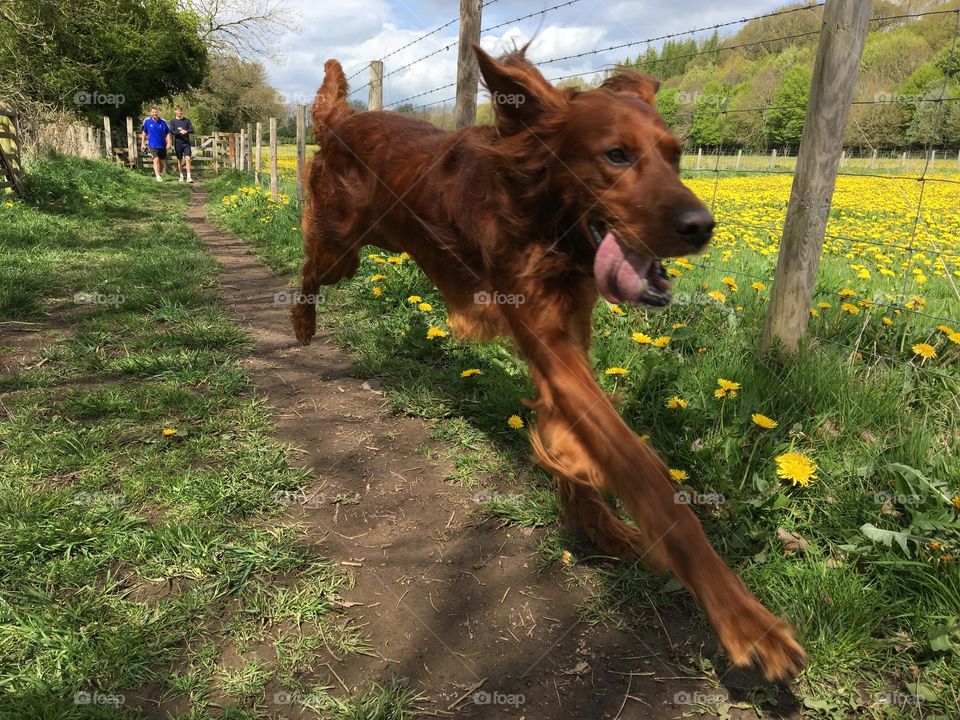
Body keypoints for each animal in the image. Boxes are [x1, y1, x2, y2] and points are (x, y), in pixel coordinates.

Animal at [296, 46, 808, 688]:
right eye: (616, 155)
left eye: (675, 155)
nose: (700, 226)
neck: (544, 216)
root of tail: (342, 119)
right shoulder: (548, 341)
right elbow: (643, 472)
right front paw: (744, 620)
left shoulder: (568, 343)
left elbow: (580, 447)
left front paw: (599, 525)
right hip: (343, 246)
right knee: (307, 268)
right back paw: (300, 326)